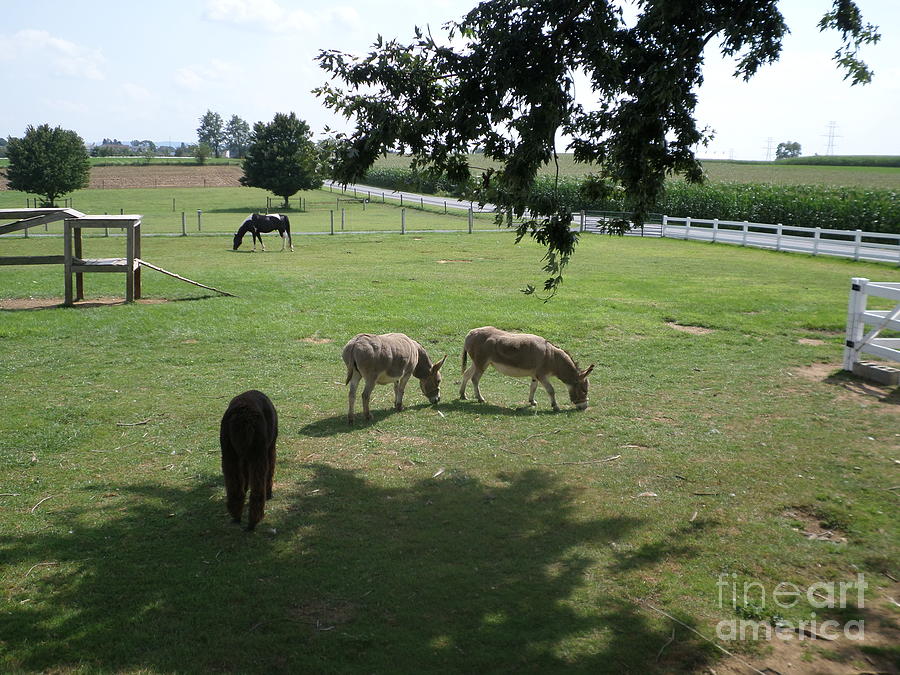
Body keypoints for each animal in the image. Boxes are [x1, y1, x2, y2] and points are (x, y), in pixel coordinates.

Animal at [219, 390, 278, 532]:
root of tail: (242, 418)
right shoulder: (270, 446)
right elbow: (271, 469)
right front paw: (269, 493)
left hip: (228, 449)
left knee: (233, 483)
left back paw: (236, 516)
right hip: (259, 449)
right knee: (258, 485)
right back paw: (253, 522)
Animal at [460, 328, 596, 412]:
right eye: (584, 390)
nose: (584, 407)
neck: (552, 357)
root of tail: (470, 333)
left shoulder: (535, 375)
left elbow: (533, 387)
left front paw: (532, 401)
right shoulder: (542, 375)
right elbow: (551, 390)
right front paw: (555, 407)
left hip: (477, 363)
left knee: (466, 374)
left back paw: (462, 395)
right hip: (482, 363)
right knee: (475, 378)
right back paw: (480, 398)